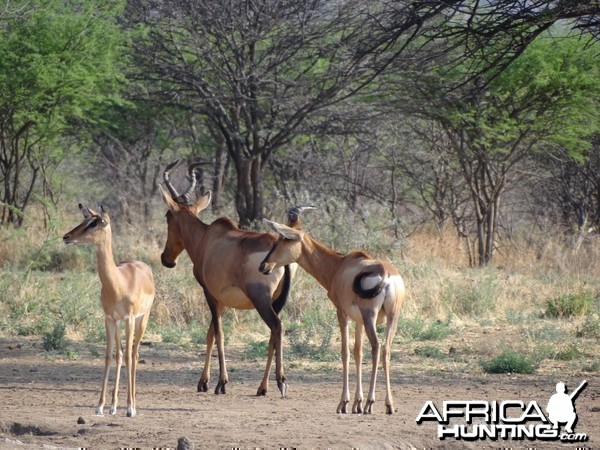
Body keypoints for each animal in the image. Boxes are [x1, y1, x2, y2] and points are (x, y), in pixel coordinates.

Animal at [158, 162, 292, 398]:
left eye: (168, 216)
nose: (167, 260)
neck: (208, 238)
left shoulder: (210, 294)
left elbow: (219, 334)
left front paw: (221, 383)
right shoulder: (221, 300)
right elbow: (210, 334)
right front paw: (203, 382)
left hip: (261, 300)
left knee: (276, 327)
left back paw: (281, 381)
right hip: (278, 301)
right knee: (272, 336)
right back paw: (262, 387)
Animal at [260, 214, 406, 414]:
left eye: (283, 239)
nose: (263, 265)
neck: (341, 264)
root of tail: (386, 274)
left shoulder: (342, 314)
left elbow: (345, 352)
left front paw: (344, 403)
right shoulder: (358, 321)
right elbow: (358, 352)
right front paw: (356, 404)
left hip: (371, 317)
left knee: (376, 347)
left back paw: (370, 403)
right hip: (392, 318)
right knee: (386, 350)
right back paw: (388, 404)